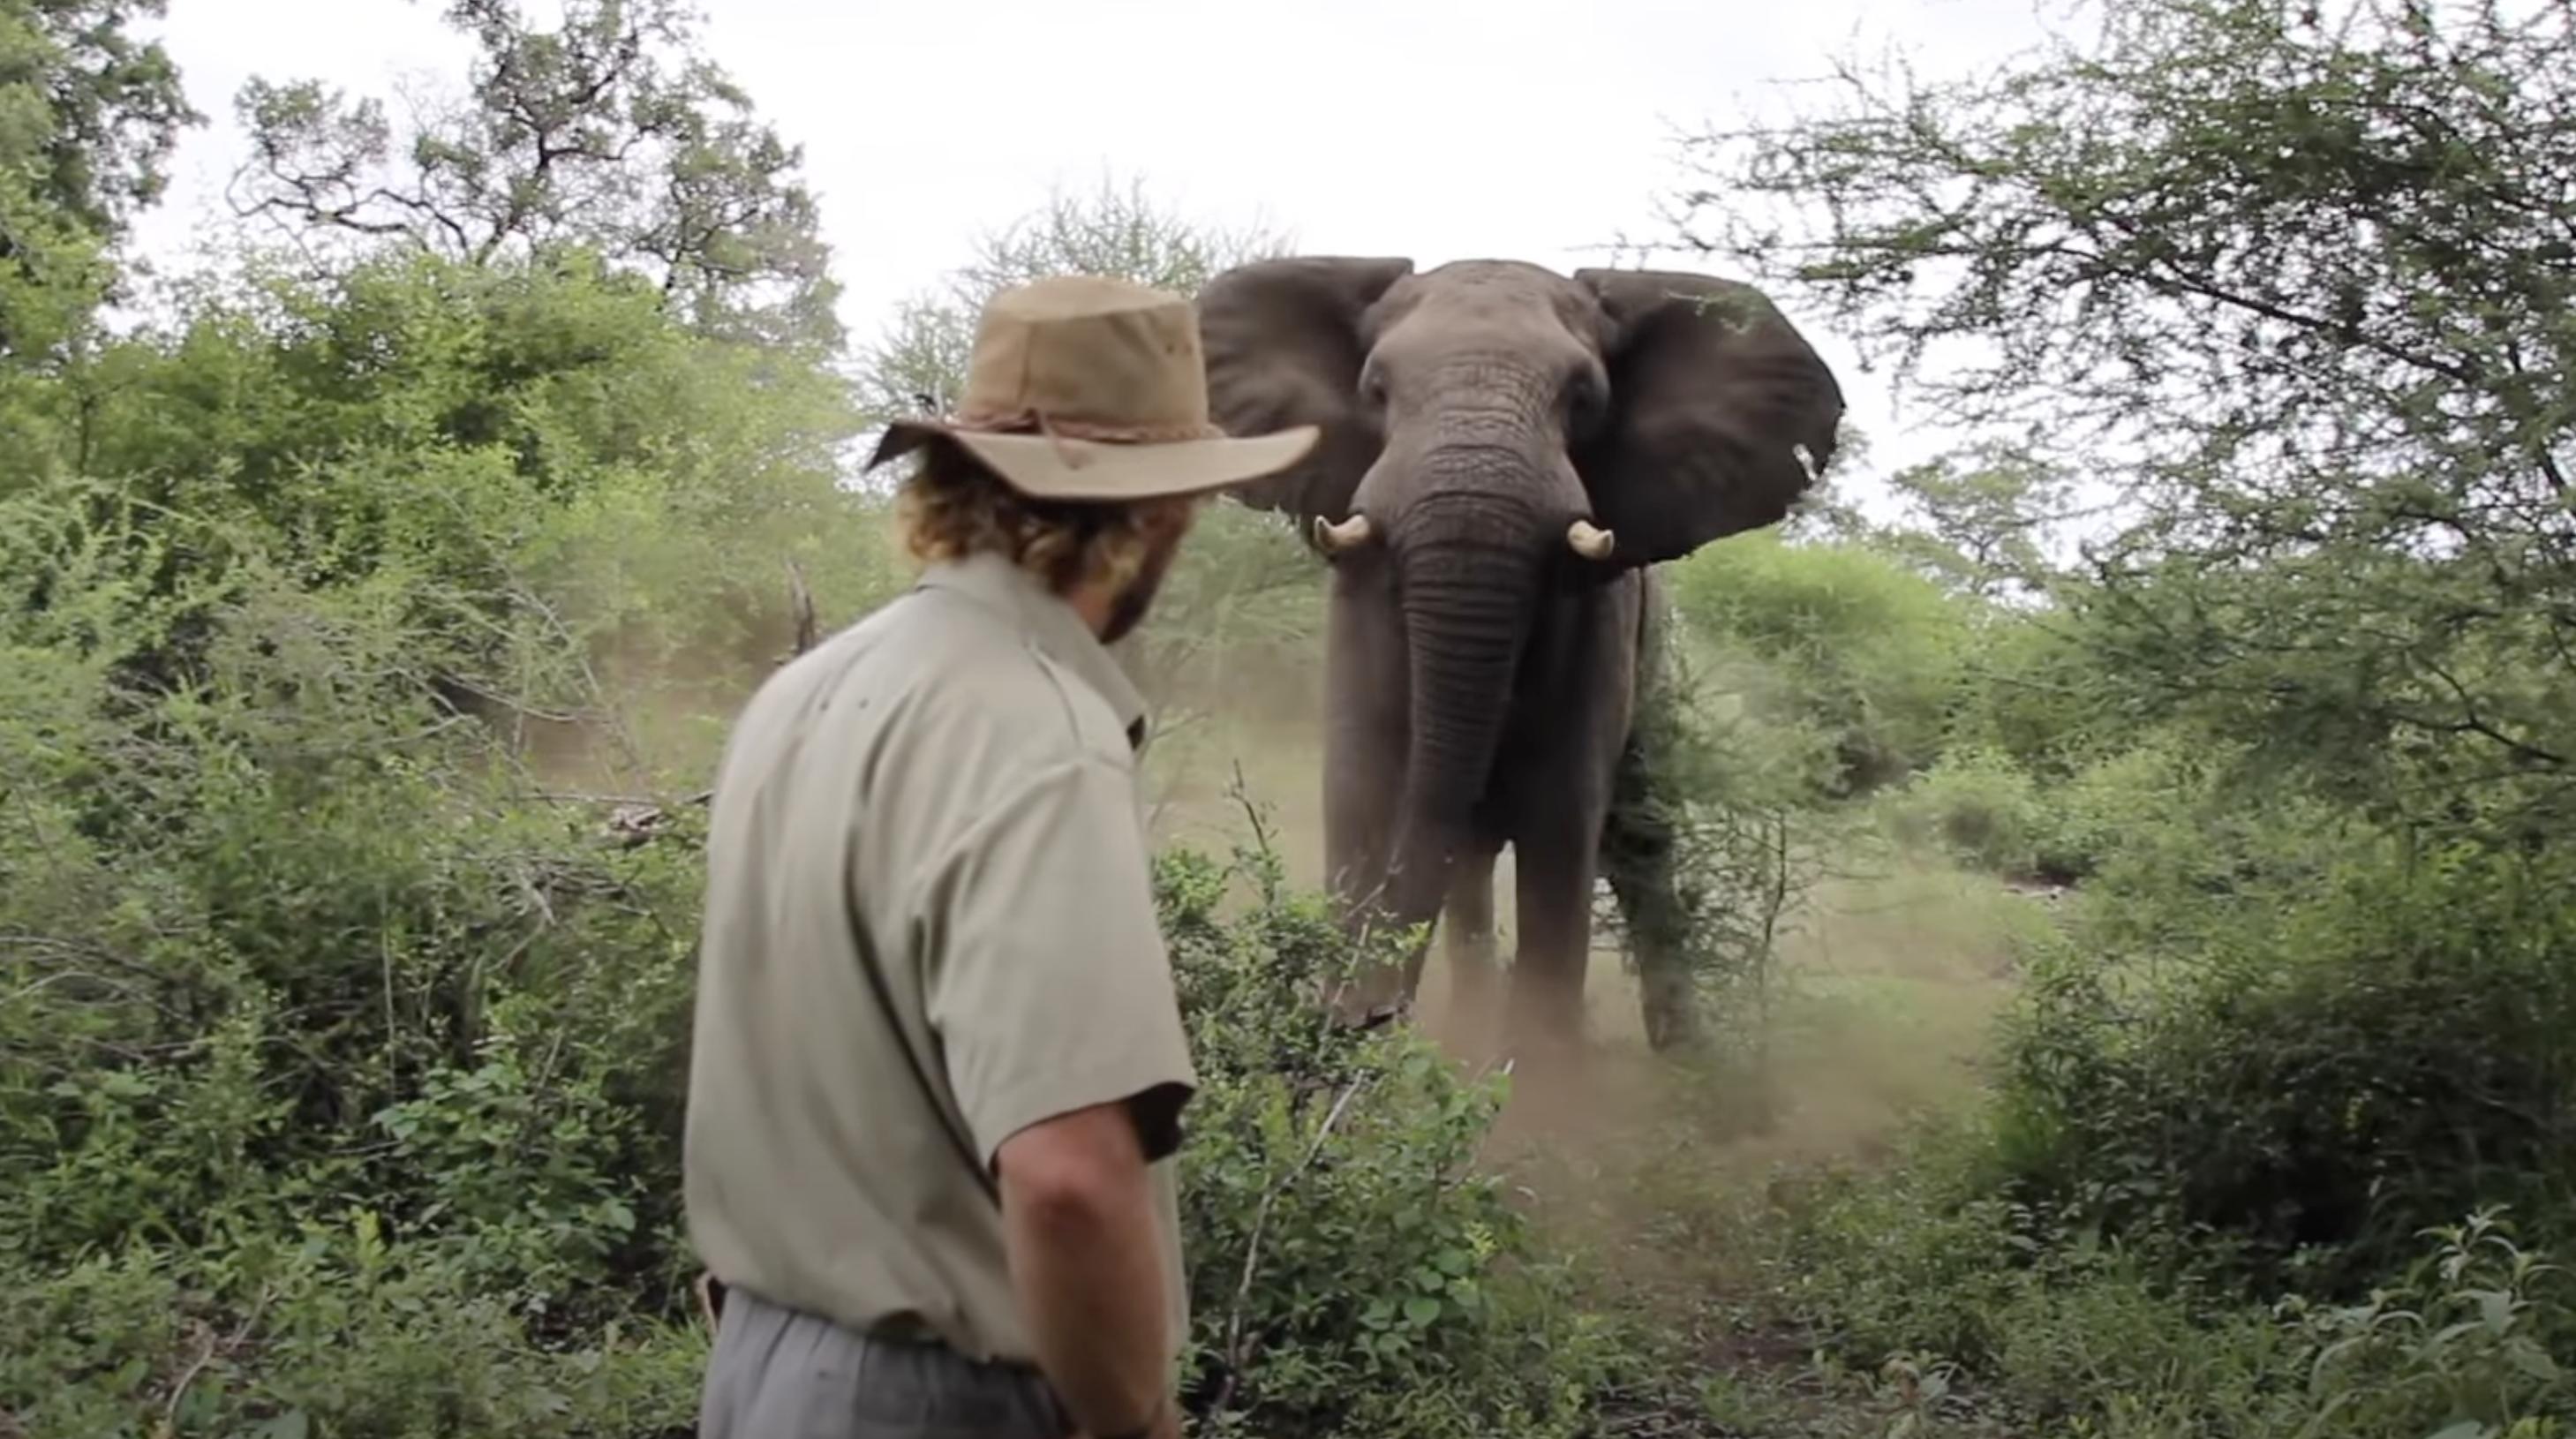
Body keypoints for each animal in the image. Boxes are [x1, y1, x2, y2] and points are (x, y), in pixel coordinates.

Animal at [1192, 256, 1845, 1056]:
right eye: (1376, 390)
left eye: (1584, 398)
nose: (1373, 1016)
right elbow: (1365, 794)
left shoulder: (1598, 628)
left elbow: (1561, 835)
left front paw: (1538, 1078)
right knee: (1473, 864)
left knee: (1641, 848)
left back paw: (1684, 1067)